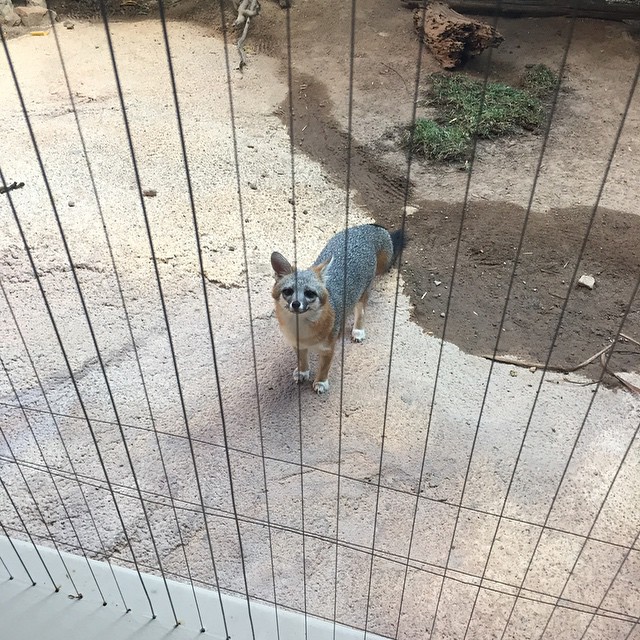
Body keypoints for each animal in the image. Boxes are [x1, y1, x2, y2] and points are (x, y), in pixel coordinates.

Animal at [270, 223, 405, 394]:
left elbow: (324, 368)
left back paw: (358, 330)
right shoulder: (297, 344)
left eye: (309, 293)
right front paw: (302, 372)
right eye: (288, 291)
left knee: (361, 311)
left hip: (362, 294)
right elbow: (302, 359)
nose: (296, 304)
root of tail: (364, 228)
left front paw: (321, 382)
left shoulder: (329, 348)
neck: (302, 330)